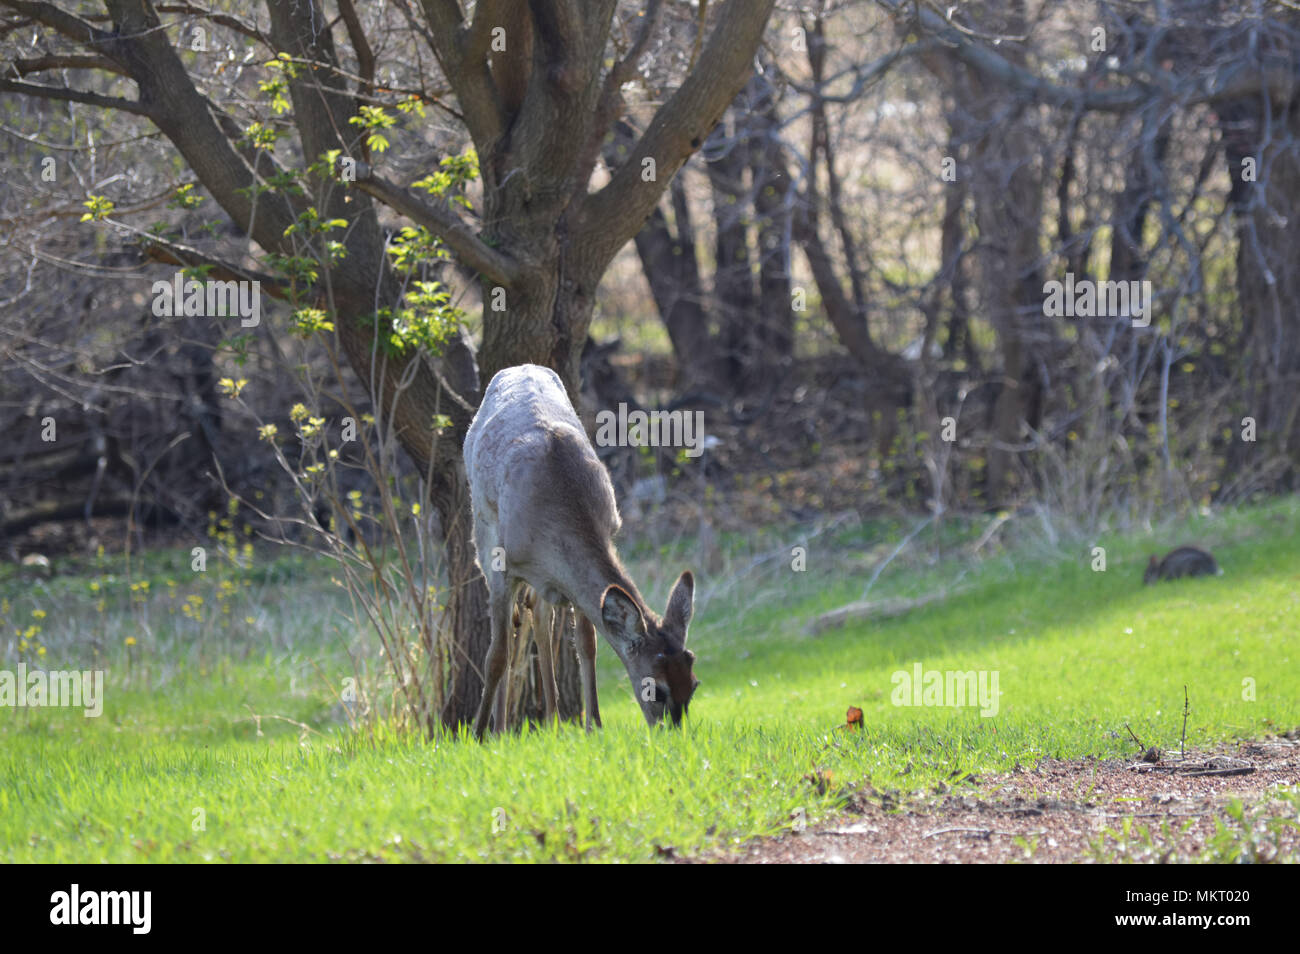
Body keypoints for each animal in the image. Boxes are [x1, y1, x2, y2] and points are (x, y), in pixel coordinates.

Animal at [462, 363, 696, 738]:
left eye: (693, 685)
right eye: (656, 690)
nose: (673, 734)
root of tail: (518, 366)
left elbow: (587, 643)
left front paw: (594, 725)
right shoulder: (501, 564)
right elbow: (496, 654)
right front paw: (479, 733)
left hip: (543, 582)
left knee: (540, 615)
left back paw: (553, 720)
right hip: (482, 529)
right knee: (512, 631)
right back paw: (502, 727)